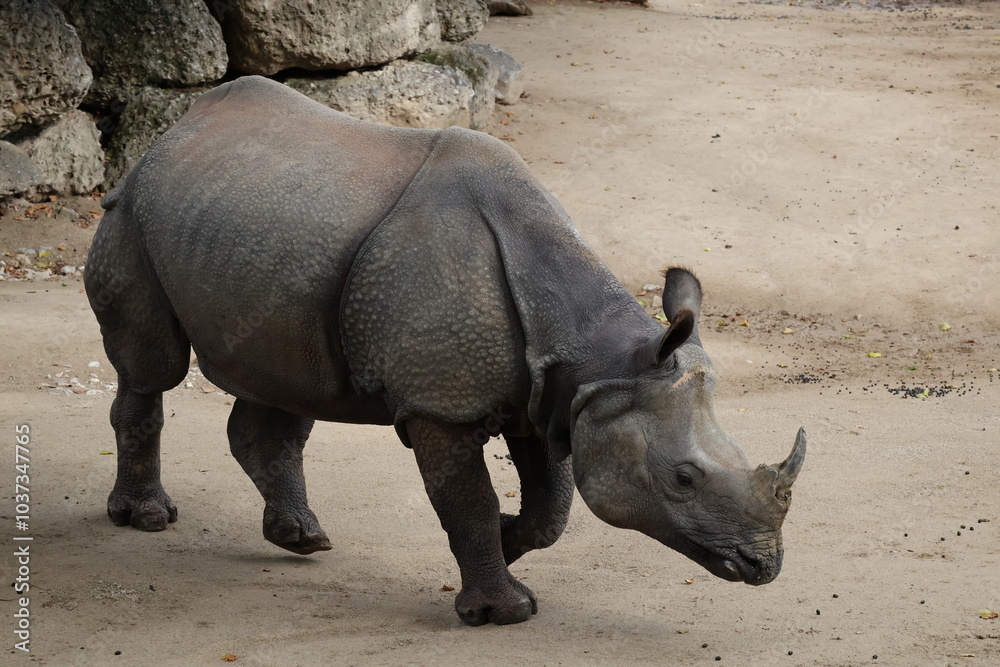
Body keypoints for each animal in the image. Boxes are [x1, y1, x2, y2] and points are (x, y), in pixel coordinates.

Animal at [85, 75, 806, 626]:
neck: (593, 353)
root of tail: (172, 133)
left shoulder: (552, 393)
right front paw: (504, 611)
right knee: (153, 369)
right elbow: (470, 500)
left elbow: (553, 507)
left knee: (286, 381)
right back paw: (147, 519)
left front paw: (512, 544)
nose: (764, 566)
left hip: (255, 231)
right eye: (683, 478)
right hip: (134, 213)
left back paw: (303, 538)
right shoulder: (443, 405)